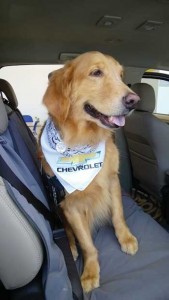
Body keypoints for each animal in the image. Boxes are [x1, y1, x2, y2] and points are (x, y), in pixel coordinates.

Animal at [40, 50, 140, 292]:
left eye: (121, 75)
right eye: (96, 73)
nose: (134, 101)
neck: (83, 144)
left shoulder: (112, 181)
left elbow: (118, 215)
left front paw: (126, 238)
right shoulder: (70, 205)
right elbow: (87, 243)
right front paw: (89, 272)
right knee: (69, 233)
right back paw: (71, 248)